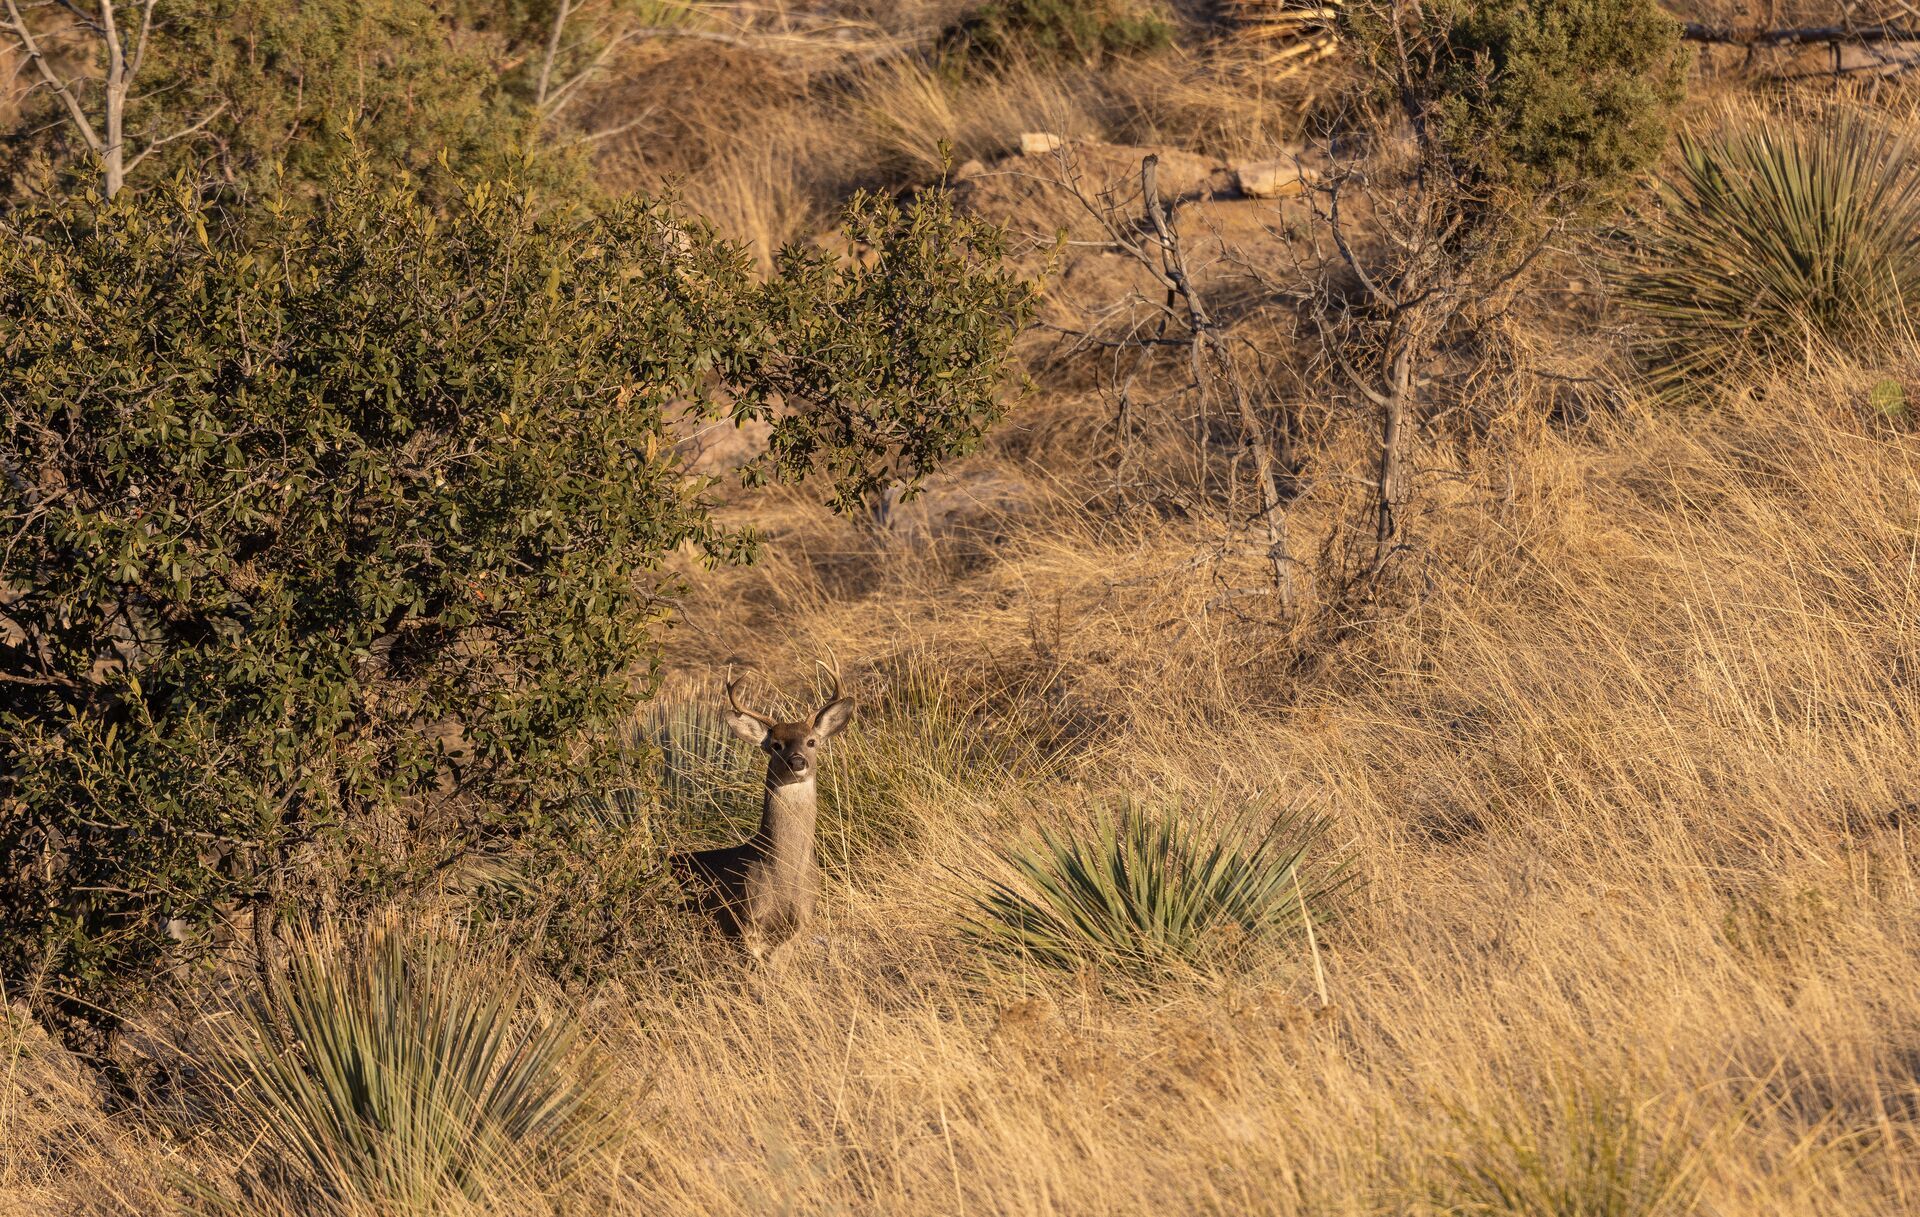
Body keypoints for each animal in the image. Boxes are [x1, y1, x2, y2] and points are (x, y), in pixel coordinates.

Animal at [672, 664, 860, 955]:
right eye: (776, 745)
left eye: (812, 741)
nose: (797, 762)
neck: (782, 871)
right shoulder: (748, 920)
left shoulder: (801, 922)